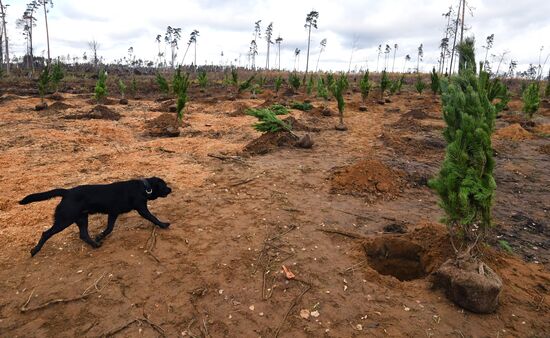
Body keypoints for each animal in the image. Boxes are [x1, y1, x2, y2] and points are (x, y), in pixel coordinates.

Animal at [20, 177, 172, 256]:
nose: (171, 189)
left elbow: (109, 228)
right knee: (46, 233)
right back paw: (35, 250)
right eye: (164, 185)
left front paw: (99, 236)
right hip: (65, 219)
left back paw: (95, 244)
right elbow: (153, 218)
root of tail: (67, 192)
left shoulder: (113, 213)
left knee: (83, 235)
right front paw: (164, 224)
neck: (144, 187)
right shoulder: (141, 209)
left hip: (82, 218)